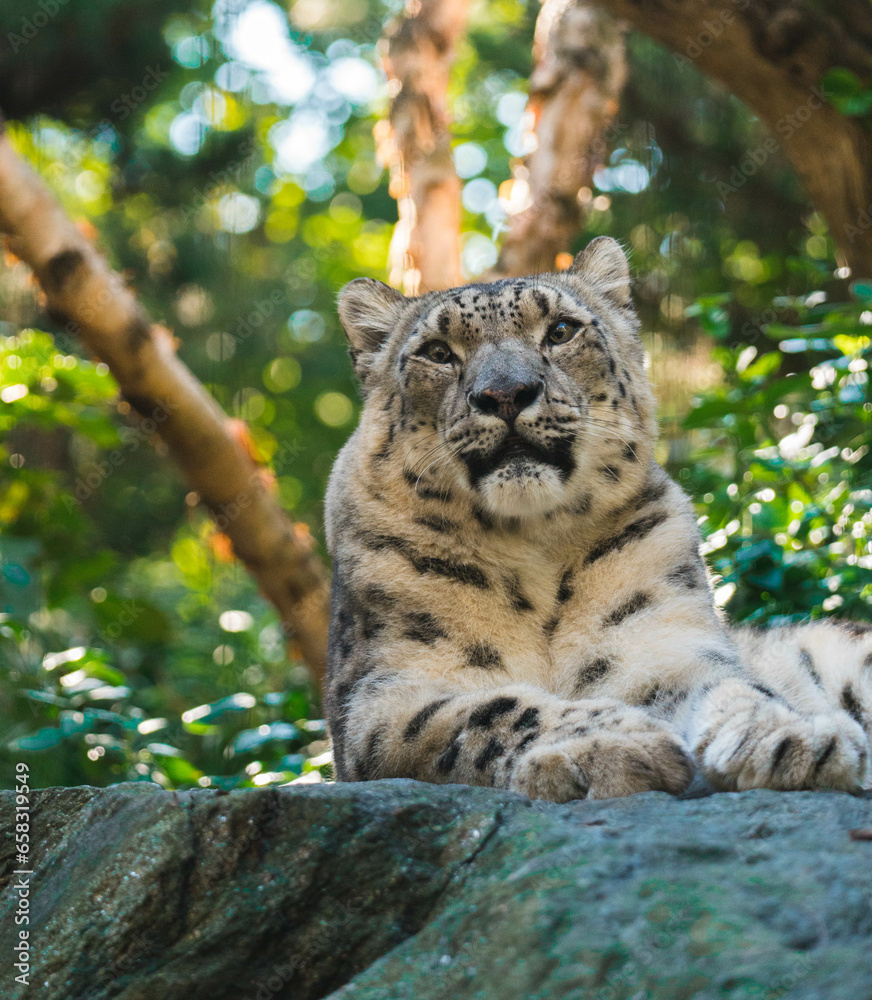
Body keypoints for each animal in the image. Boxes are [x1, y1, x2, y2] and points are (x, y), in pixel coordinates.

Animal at [323, 236, 872, 802]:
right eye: (437, 352)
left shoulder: (664, 643)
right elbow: (487, 710)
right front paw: (611, 742)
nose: (506, 393)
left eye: (562, 330)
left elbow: (733, 686)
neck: (533, 555)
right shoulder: (385, 693)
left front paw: (797, 736)